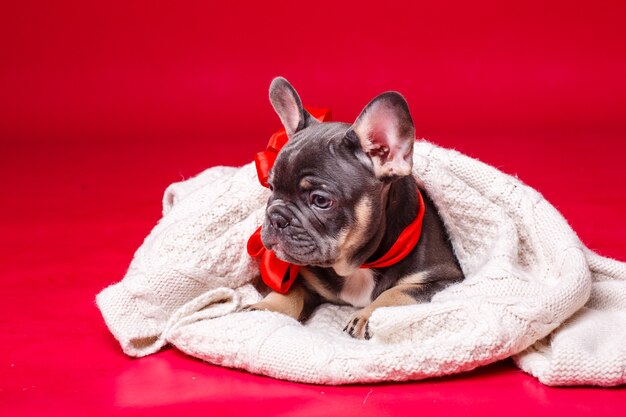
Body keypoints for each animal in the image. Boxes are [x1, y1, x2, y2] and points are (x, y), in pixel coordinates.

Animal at [246, 77, 460, 338]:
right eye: (271, 186)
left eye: (320, 200)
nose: (276, 217)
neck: (360, 265)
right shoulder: (306, 279)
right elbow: (288, 293)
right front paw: (266, 308)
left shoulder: (445, 280)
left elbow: (398, 292)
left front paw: (366, 316)